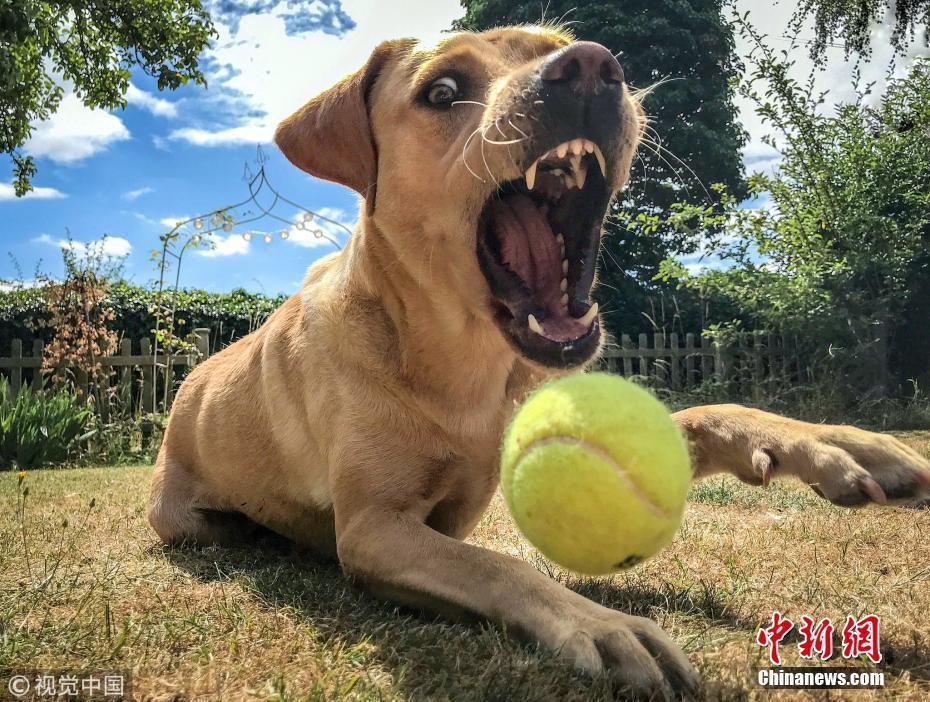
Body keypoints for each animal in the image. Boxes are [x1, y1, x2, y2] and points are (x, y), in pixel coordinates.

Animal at [149, 24, 928, 700]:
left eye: (557, 45)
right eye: (442, 91)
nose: (590, 66)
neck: (466, 368)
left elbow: (706, 413)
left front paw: (831, 442)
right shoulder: (376, 528)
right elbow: (496, 565)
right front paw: (602, 625)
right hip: (181, 516)